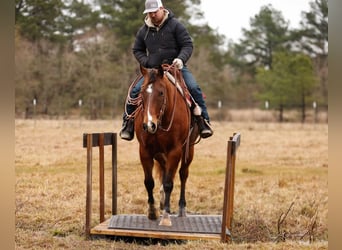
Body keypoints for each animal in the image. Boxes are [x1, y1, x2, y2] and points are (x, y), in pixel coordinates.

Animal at [134, 63, 199, 226]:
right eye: (142, 92)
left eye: (161, 93)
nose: (149, 125)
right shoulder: (145, 151)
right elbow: (149, 182)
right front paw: (152, 211)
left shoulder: (175, 151)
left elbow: (169, 182)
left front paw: (165, 217)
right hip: (159, 154)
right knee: (164, 172)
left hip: (188, 150)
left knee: (183, 174)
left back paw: (181, 208)